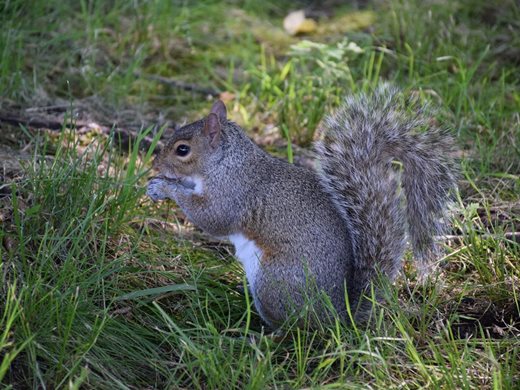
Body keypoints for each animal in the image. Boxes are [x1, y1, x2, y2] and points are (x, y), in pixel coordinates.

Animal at [146, 85, 456, 326]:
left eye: (182, 149)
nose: (155, 163)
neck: (224, 162)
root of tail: (338, 316)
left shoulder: (233, 194)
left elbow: (211, 218)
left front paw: (164, 187)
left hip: (273, 282)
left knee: (295, 328)